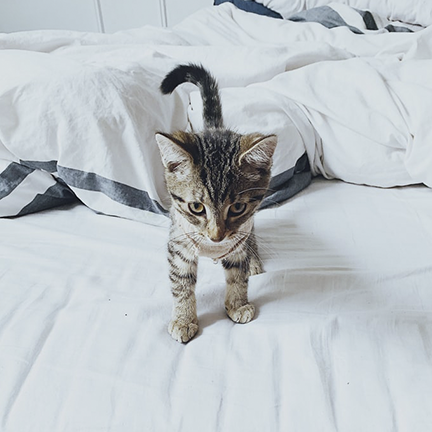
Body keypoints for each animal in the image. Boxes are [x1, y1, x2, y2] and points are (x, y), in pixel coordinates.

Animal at [155, 64, 276, 342]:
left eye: (238, 208)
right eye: (196, 207)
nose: (216, 236)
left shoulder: (240, 234)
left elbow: (237, 273)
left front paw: (237, 304)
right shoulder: (179, 242)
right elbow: (181, 281)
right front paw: (184, 318)